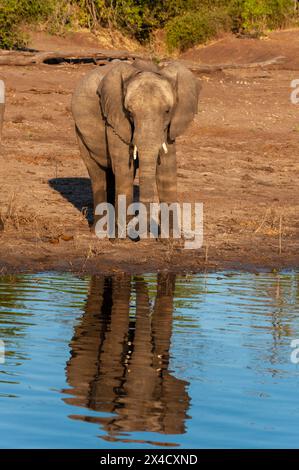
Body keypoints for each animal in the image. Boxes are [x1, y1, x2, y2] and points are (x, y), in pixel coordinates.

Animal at [71, 58, 200, 235]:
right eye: (130, 113)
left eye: (167, 111)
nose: (142, 230)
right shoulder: (115, 119)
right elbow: (124, 168)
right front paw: (122, 236)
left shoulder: (169, 127)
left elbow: (166, 170)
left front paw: (172, 238)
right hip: (79, 132)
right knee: (97, 173)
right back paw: (100, 230)